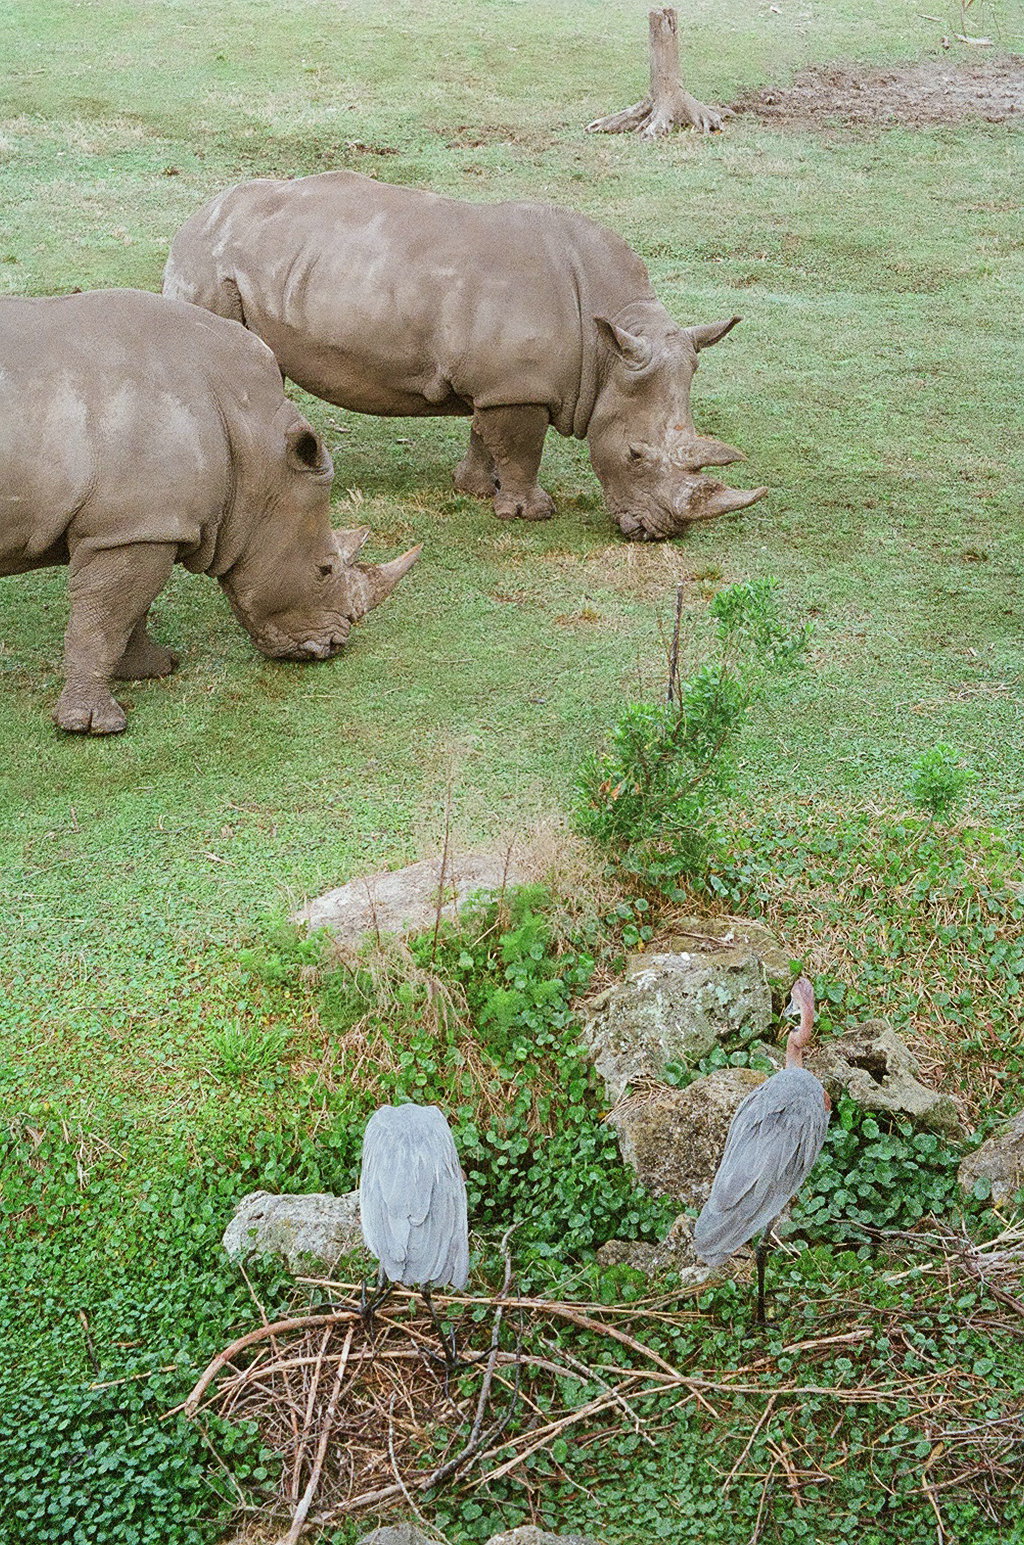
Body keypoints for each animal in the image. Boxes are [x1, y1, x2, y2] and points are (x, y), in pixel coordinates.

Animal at [0, 288, 419, 733]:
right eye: (324, 570)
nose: (333, 646)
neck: (252, 442)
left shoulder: (147, 526)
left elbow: (130, 610)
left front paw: (153, 669)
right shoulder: (132, 528)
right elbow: (106, 619)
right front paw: (94, 726)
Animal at [163, 171, 767, 542]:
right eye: (636, 455)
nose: (656, 534)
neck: (609, 345)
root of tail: (196, 216)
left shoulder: (500, 383)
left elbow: (486, 433)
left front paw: (475, 488)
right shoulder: (516, 387)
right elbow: (521, 447)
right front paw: (529, 514)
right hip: (210, 265)